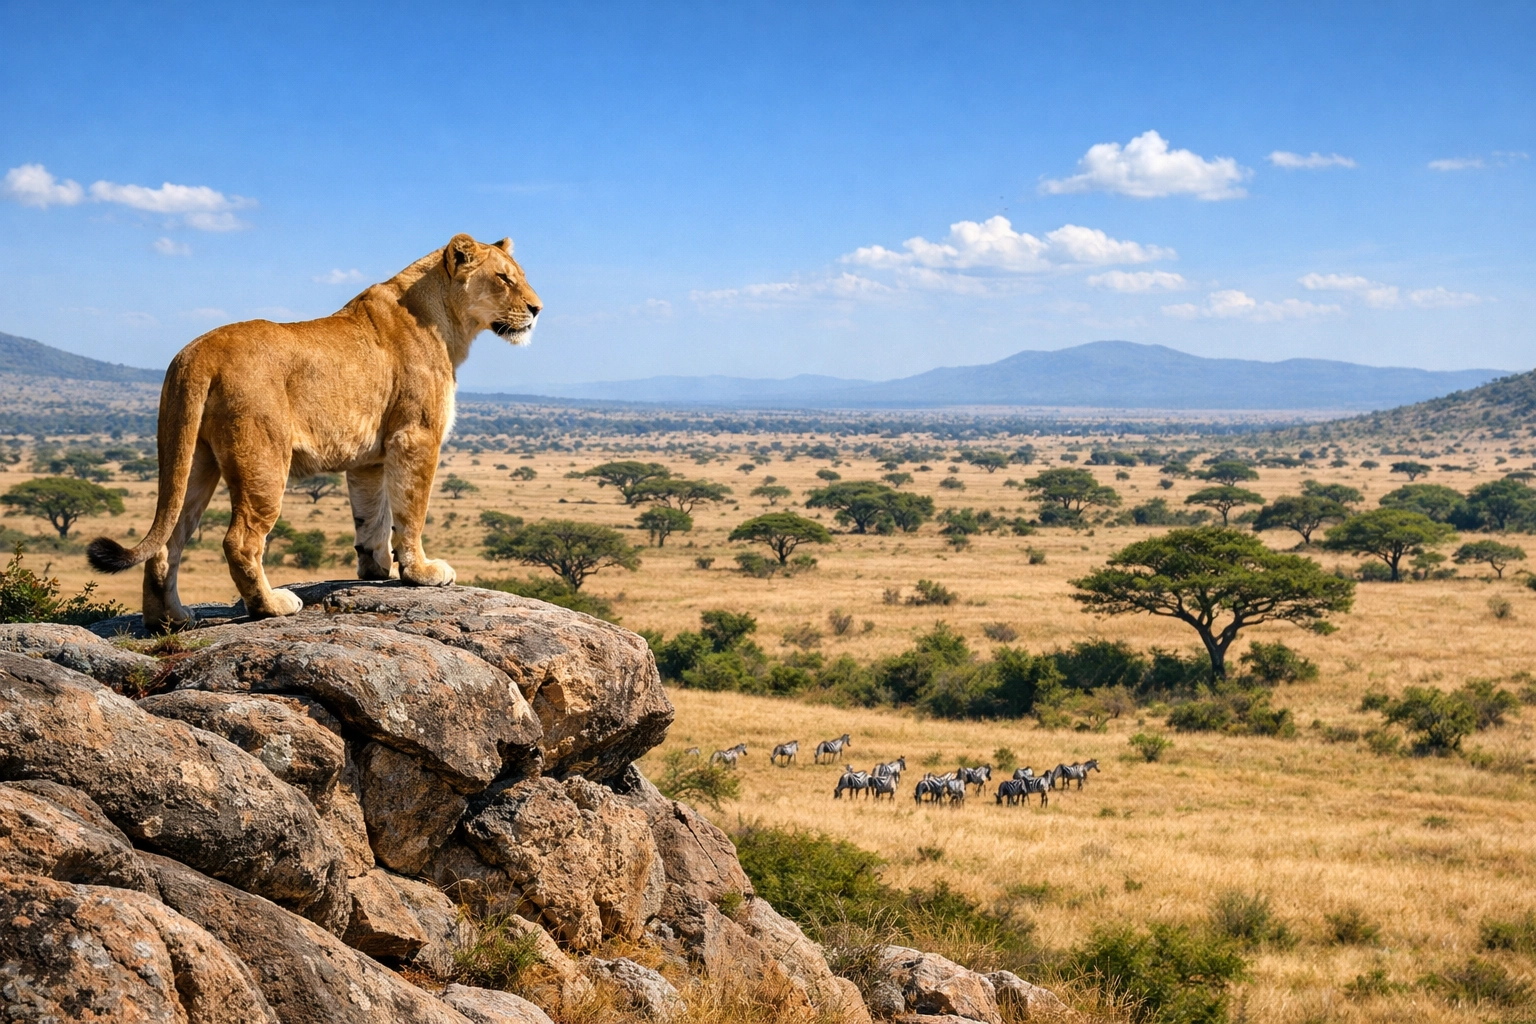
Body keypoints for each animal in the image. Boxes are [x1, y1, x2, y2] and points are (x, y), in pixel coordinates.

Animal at [87, 233, 541, 630]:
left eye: (519, 274)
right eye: (504, 278)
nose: (537, 309)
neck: (447, 318)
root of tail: (199, 352)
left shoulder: (370, 457)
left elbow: (371, 514)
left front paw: (374, 567)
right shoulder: (416, 436)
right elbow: (411, 510)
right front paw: (421, 572)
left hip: (190, 460)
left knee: (168, 540)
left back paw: (169, 620)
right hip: (264, 459)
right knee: (240, 540)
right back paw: (270, 606)